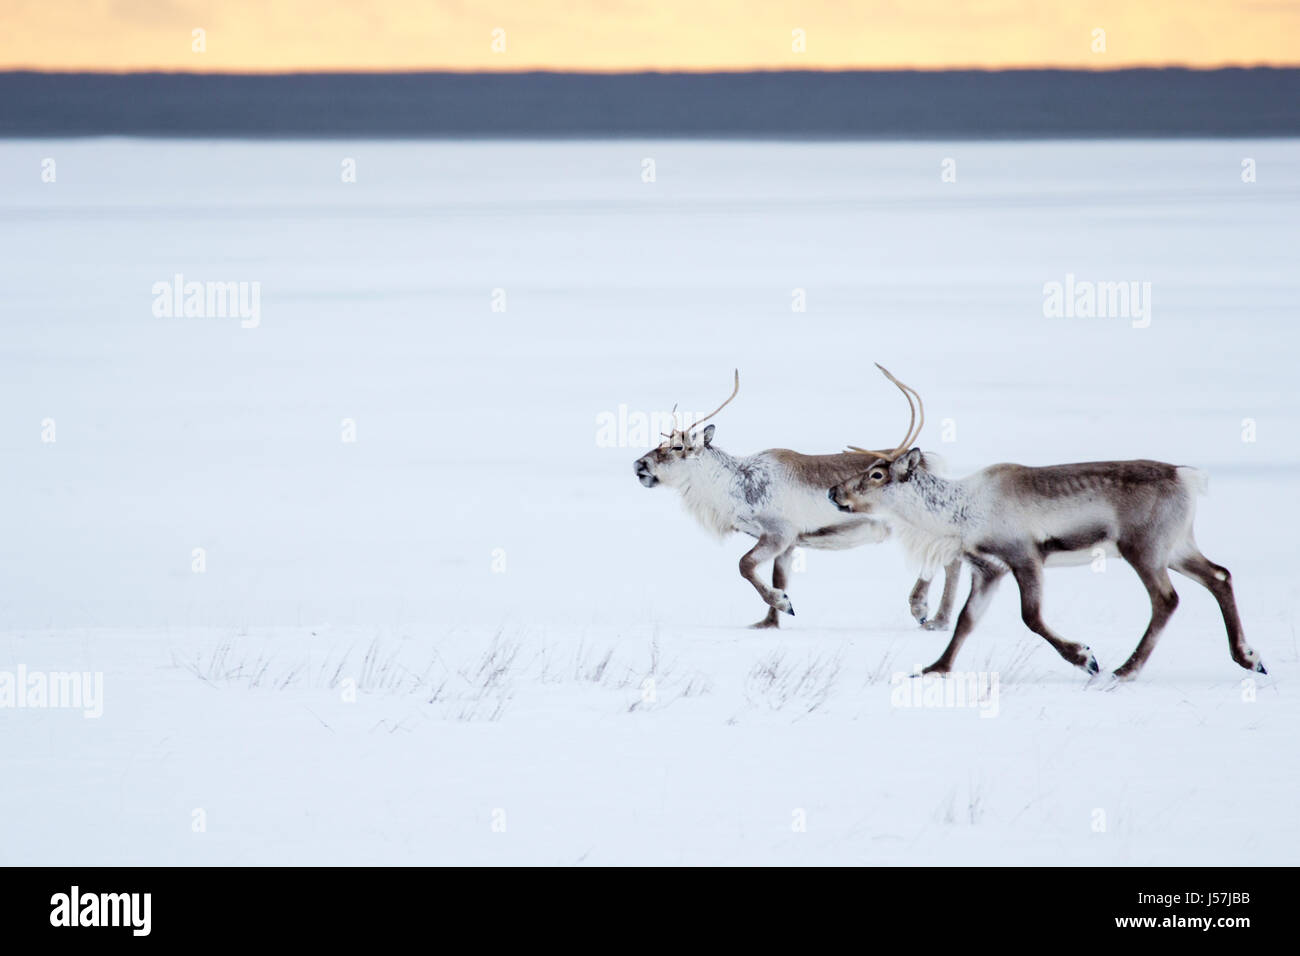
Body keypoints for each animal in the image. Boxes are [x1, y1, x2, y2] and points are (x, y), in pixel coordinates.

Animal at [633, 370, 961, 630]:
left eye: (678, 447)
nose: (639, 465)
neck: (733, 485)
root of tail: (930, 463)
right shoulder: (790, 544)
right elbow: (779, 577)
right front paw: (768, 622)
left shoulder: (779, 532)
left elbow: (744, 565)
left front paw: (782, 603)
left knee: (949, 561)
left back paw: (928, 614)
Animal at [826, 370, 1266, 681]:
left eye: (877, 474)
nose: (834, 491)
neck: (961, 511)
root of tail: (1185, 476)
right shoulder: (988, 568)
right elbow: (967, 620)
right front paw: (936, 668)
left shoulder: (1025, 556)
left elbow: (1031, 617)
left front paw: (1085, 657)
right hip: (1177, 545)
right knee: (1219, 576)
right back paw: (1249, 657)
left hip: (1143, 547)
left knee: (1167, 599)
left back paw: (1125, 670)